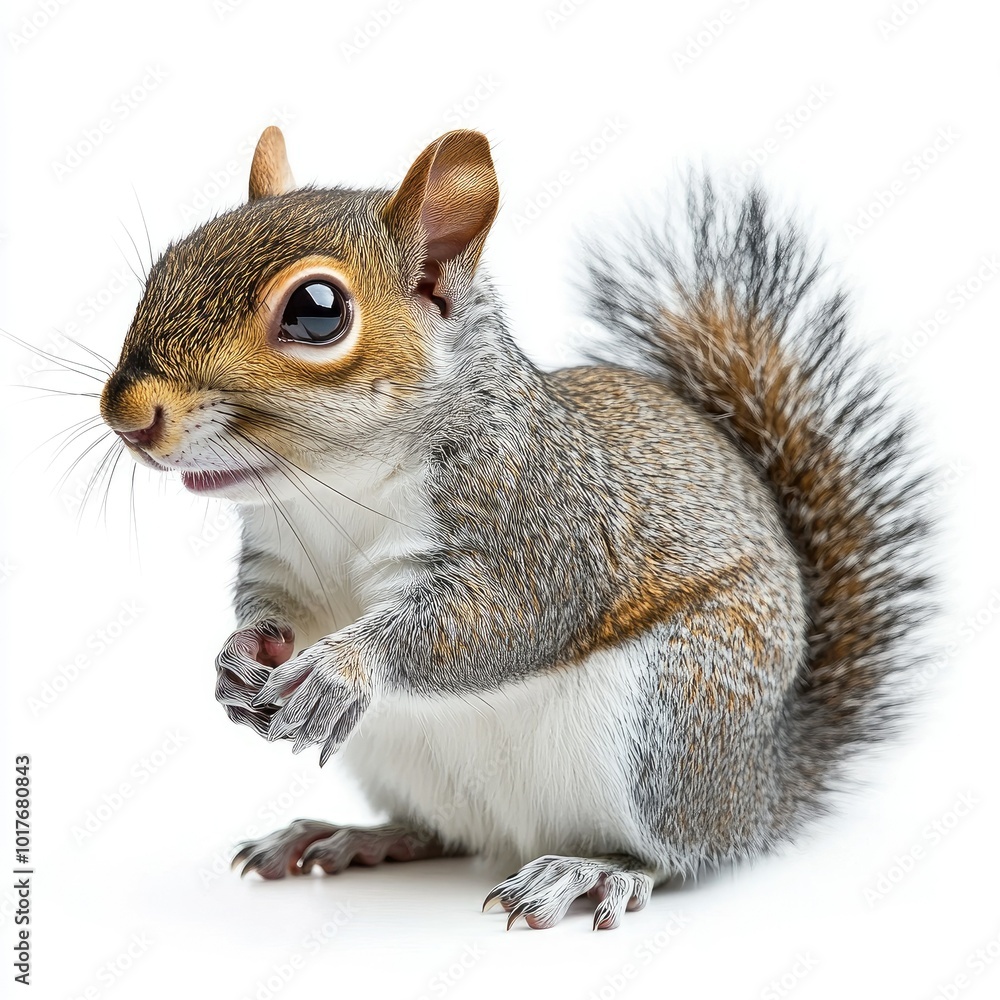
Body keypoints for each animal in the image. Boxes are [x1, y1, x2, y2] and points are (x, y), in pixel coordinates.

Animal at [98, 125, 933, 931]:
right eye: (168, 263)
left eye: (316, 311)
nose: (127, 414)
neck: (331, 492)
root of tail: (766, 781)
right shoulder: (283, 561)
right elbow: (277, 613)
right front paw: (236, 659)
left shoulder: (542, 523)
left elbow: (502, 620)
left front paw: (344, 668)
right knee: (448, 833)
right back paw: (349, 836)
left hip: (672, 719)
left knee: (682, 853)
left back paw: (591, 871)